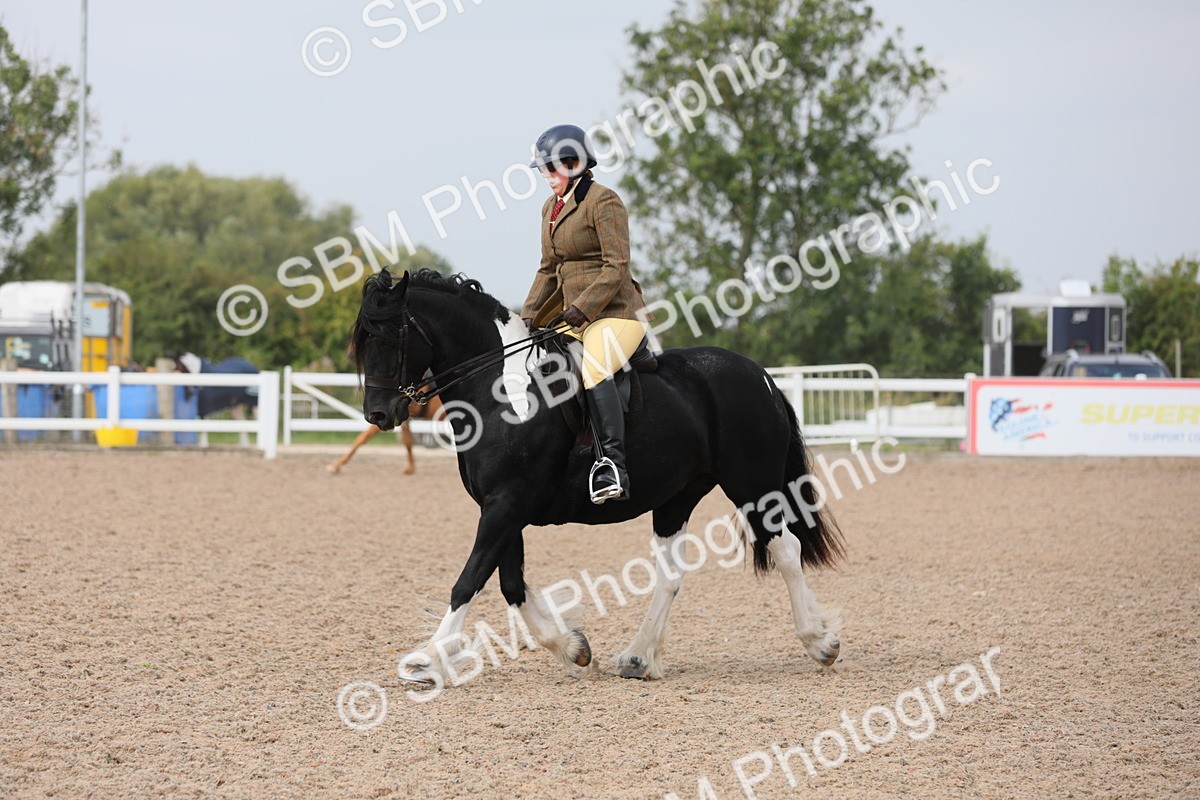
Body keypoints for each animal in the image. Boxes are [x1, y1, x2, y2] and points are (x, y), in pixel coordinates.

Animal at [352, 268, 845, 684]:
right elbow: (510, 584)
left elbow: (469, 579)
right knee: (671, 573)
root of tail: (761, 376)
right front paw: (571, 647)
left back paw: (820, 642)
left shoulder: (506, 504)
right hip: (678, 497)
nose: (378, 414)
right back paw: (639, 657)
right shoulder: (501, 508)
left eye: (388, 339)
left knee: (786, 550)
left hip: (752, 486)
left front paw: (427, 659)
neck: (502, 393)